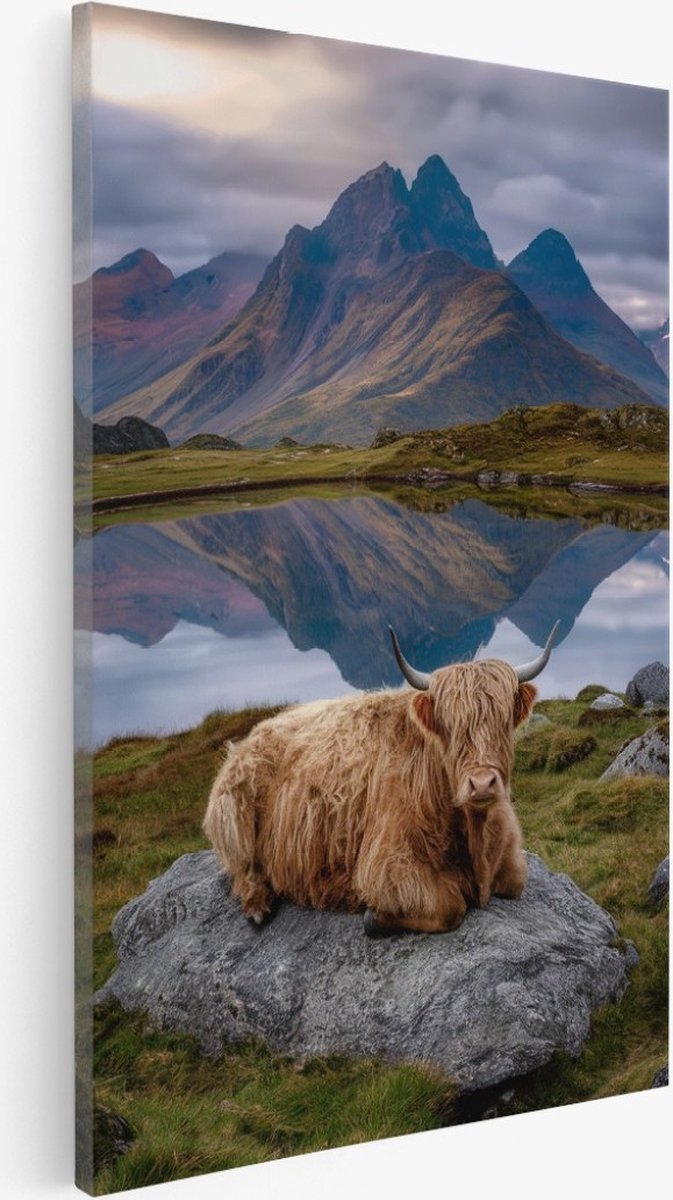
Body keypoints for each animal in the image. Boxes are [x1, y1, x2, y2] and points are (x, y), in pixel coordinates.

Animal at [203, 621, 559, 936]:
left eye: (503, 718)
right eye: (447, 725)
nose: (482, 783)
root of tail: (253, 734)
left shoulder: (510, 861)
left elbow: (515, 882)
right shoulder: (385, 865)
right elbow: (448, 906)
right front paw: (374, 918)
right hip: (233, 814)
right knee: (242, 866)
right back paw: (257, 908)